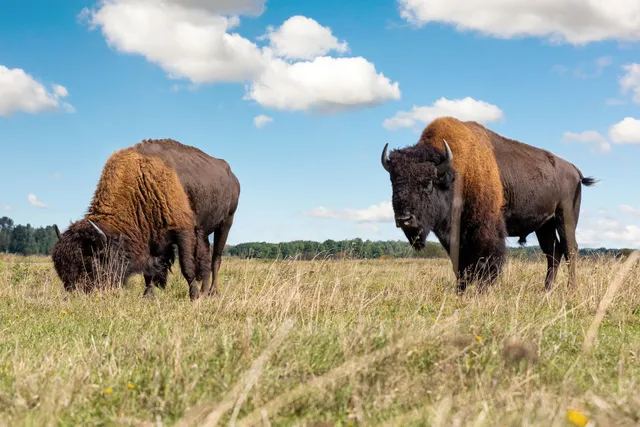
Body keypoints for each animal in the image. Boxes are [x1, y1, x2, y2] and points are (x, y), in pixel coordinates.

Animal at [52, 138, 240, 300]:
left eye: (91, 263)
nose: (76, 295)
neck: (141, 179)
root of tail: (231, 175)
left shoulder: (183, 230)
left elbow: (187, 266)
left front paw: (193, 296)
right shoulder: (150, 236)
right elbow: (148, 271)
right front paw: (148, 296)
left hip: (225, 223)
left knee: (215, 259)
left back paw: (213, 292)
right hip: (205, 231)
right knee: (206, 258)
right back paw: (205, 290)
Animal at [381, 116, 596, 292]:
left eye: (428, 182)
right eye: (393, 181)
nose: (404, 219)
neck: (457, 173)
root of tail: (574, 169)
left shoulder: (486, 229)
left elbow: (486, 261)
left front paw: (482, 290)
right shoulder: (454, 236)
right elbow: (460, 265)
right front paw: (460, 291)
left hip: (565, 218)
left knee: (570, 249)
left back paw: (571, 289)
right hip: (544, 225)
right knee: (552, 253)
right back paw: (547, 290)